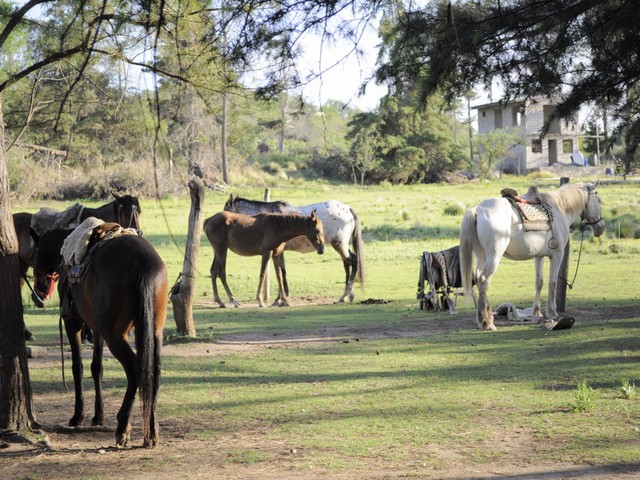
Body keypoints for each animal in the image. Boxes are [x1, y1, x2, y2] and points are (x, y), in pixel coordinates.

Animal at [31, 223, 168, 448]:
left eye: (34, 256)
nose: (39, 290)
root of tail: (142, 262)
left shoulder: (73, 323)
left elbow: (77, 367)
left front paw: (78, 416)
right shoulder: (97, 329)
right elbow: (97, 368)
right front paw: (98, 416)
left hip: (116, 335)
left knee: (134, 370)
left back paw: (123, 427)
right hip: (154, 330)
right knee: (153, 372)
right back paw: (152, 431)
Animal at [460, 182, 604, 332]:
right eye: (599, 201)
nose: (601, 228)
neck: (560, 209)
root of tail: (477, 210)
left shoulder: (539, 256)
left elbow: (539, 282)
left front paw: (537, 312)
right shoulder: (557, 255)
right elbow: (553, 282)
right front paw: (552, 312)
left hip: (481, 256)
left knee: (478, 278)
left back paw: (484, 317)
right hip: (493, 256)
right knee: (483, 281)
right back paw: (487, 322)